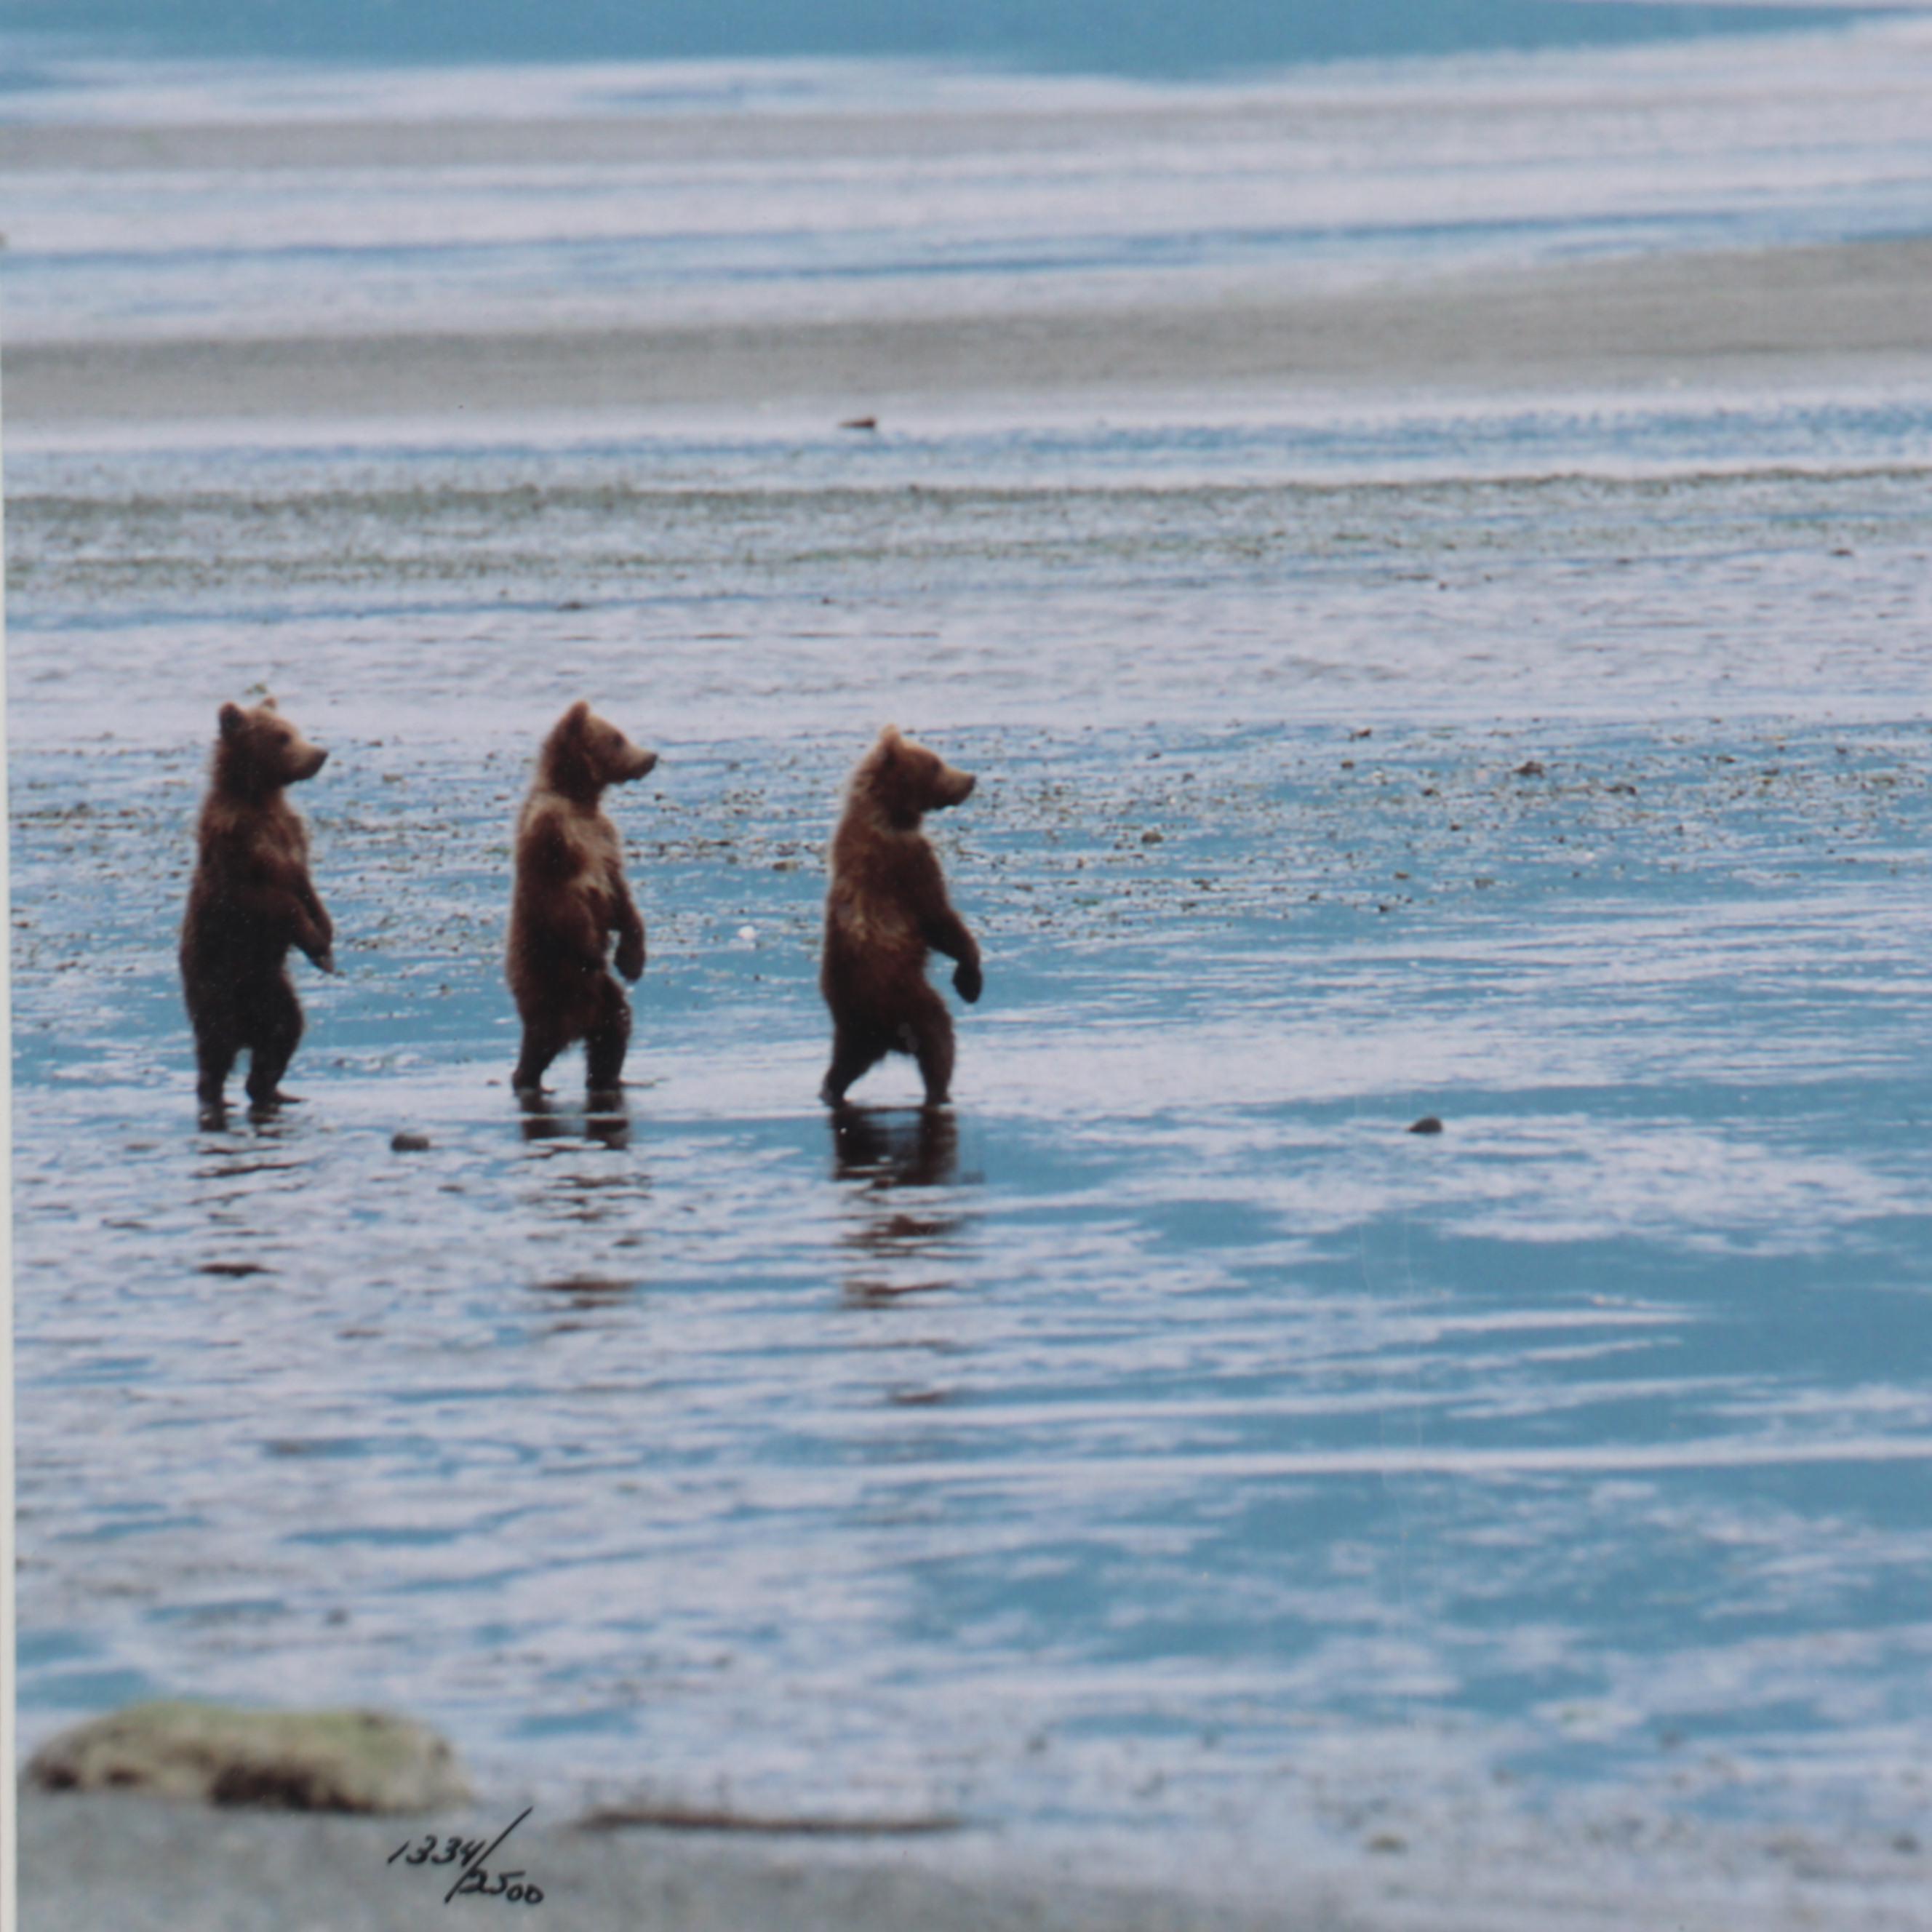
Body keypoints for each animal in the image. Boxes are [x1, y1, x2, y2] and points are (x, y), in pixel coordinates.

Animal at [179, 697, 334, 1112]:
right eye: (282, 737)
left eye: (295, 729)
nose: (320, 753)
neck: (262, 798)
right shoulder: (240, 850)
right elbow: (275, 901)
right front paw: (316, 940)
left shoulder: (291, 835)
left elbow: (307, 888)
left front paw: (326, 945)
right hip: (217, 990)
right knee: (215, 1052)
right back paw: (217, 1094)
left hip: (274, 990)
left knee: (285, 1033)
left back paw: (276, 1091)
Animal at [506, 700, 659, 1095]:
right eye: (617, 739)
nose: (651, 756)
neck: (580, 800)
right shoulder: (553, 837)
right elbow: (566, 902)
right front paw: (598, 951)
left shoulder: (604, 838)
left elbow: (623, 899)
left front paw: (632, 959)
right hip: (550, 983)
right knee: (543, 1040)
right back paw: (527, 1078)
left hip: (600, 996)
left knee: (614, 1028)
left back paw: (612, 1078)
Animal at [819, 724, 981, 1109]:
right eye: (936, 764)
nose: (970, 779)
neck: (888, 813)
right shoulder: (906, 862)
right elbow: (940, 919)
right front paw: (969, 979)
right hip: (907, 997)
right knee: (939, 1039)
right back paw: (940, 1091)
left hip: (851, 1029)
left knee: (843, 1065)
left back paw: (830, 1091)